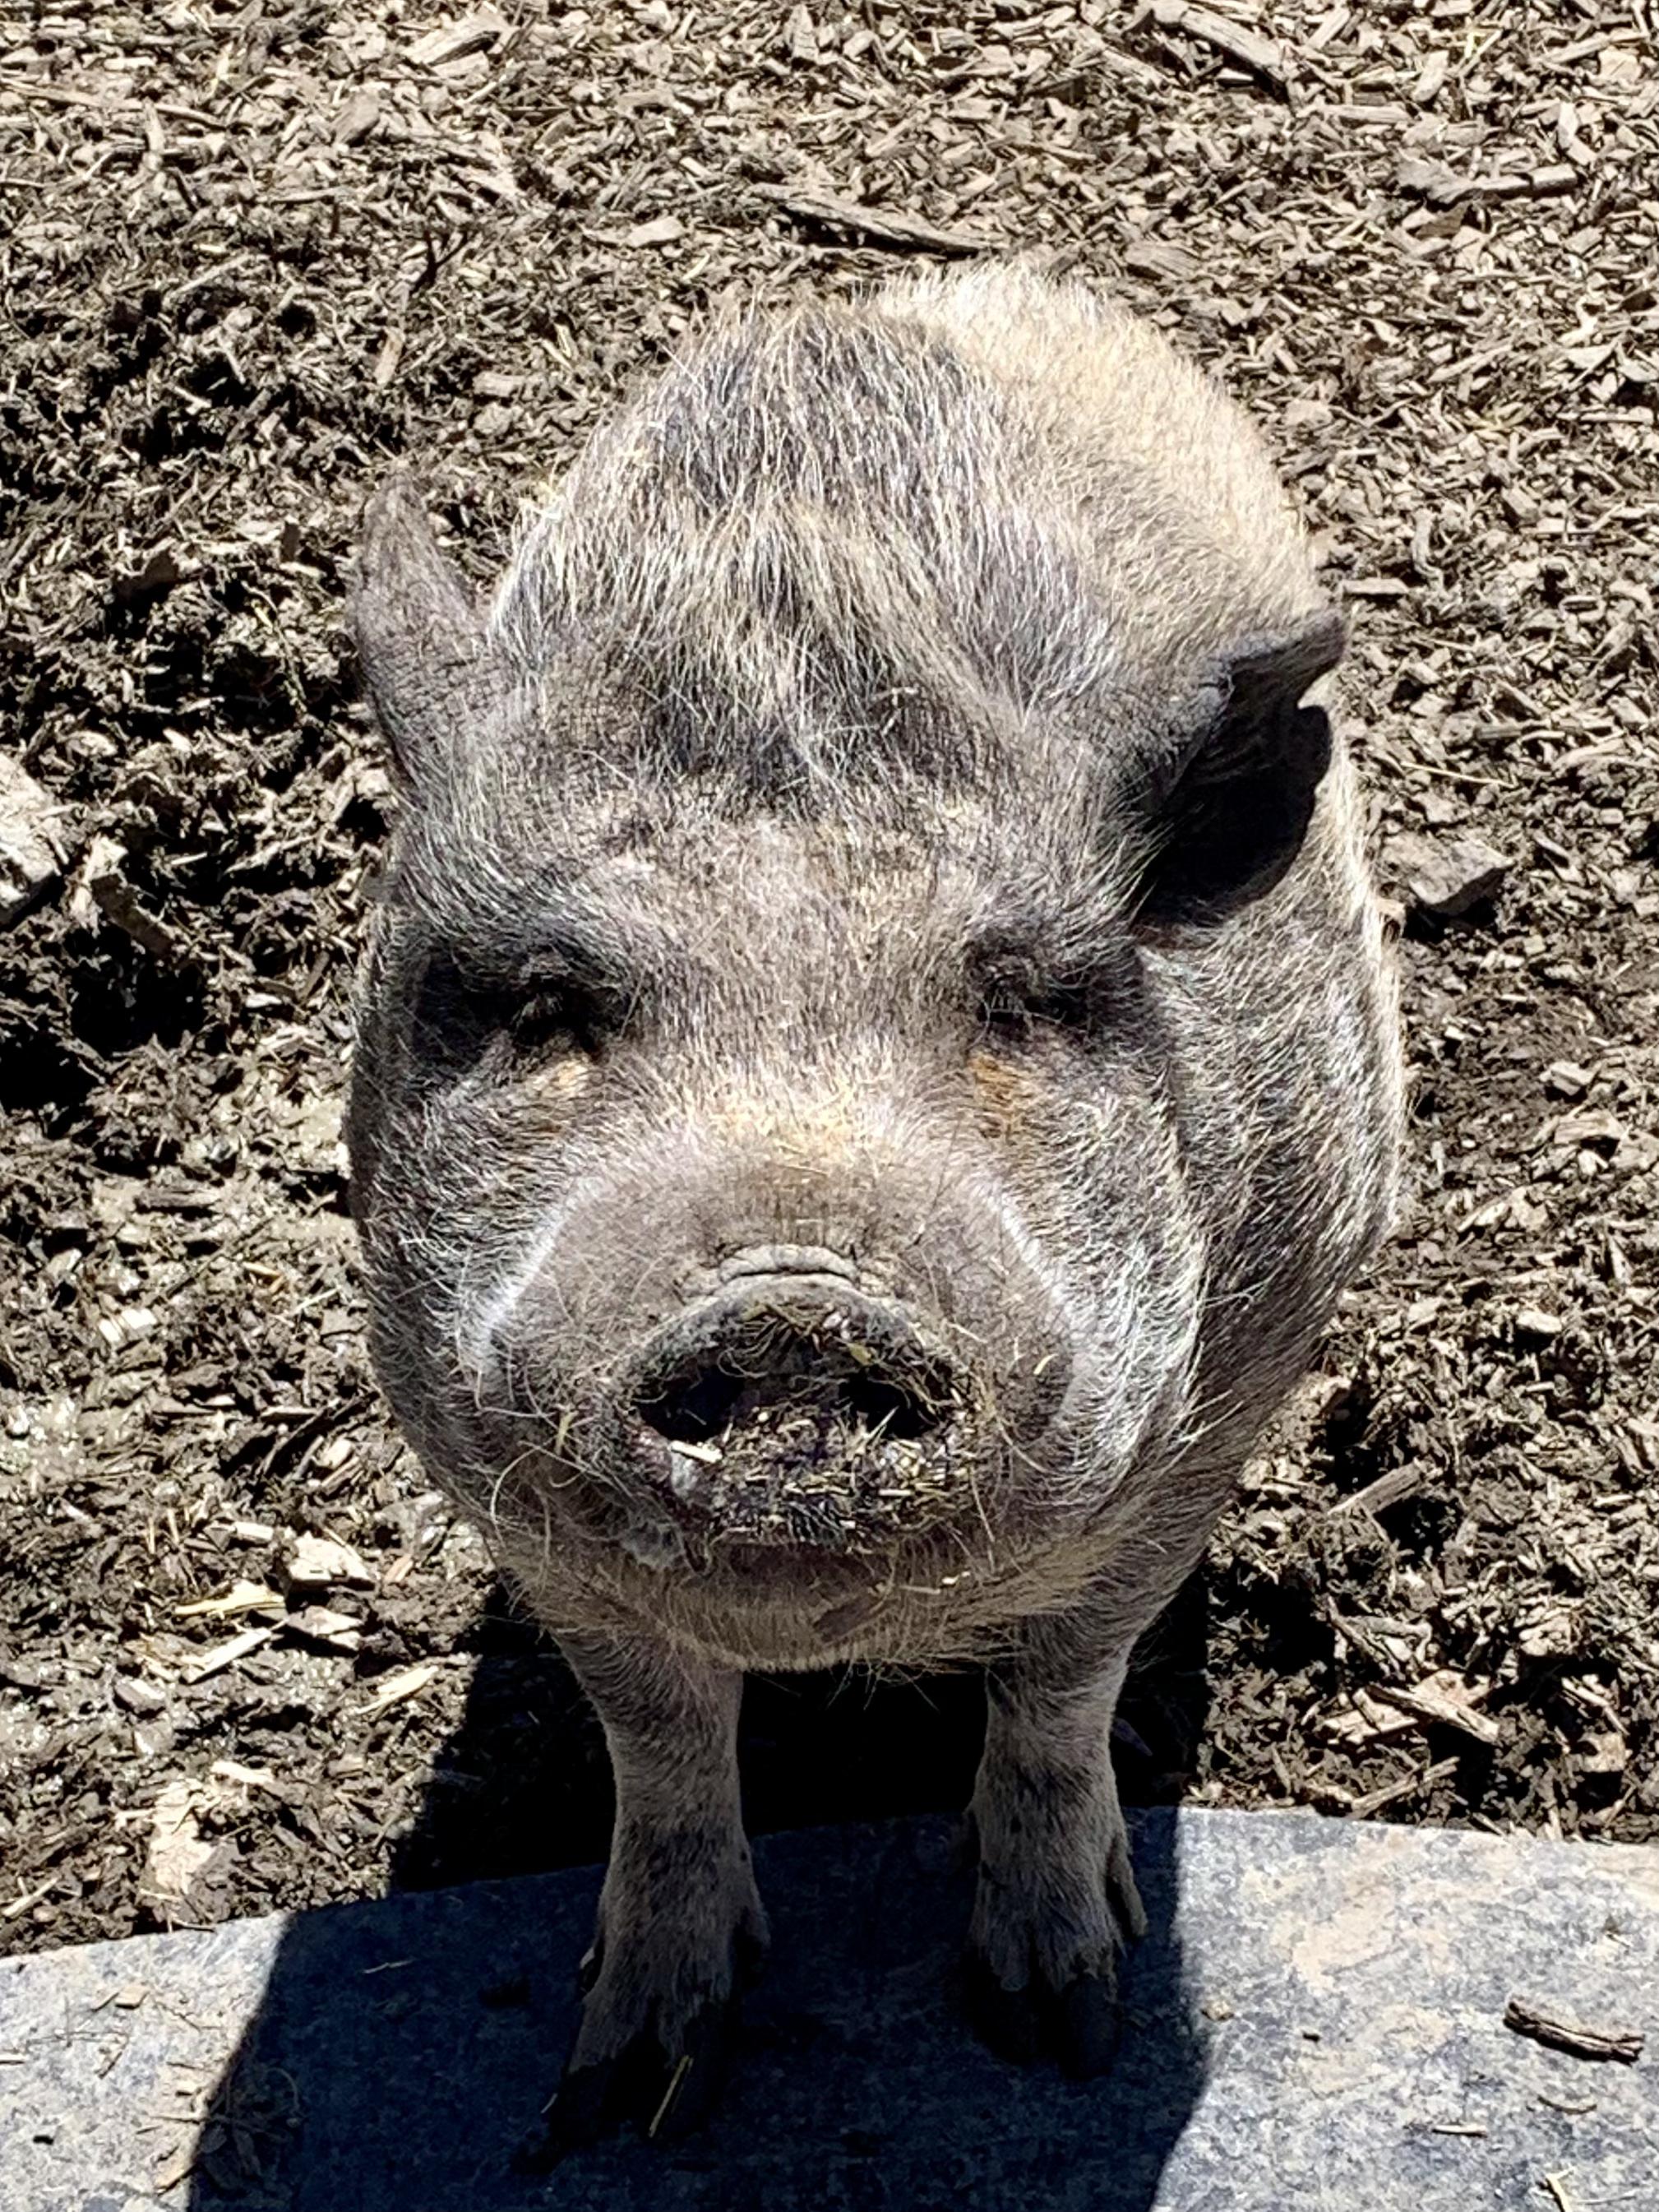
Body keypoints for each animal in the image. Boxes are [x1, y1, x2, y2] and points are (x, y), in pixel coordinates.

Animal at [347, 263, 1403, 2148]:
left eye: (1020, 997)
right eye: (545, 1004)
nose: (788, 1303)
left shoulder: (1216, 1415)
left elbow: (1061, 1687)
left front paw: (1064, 2026)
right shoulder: (489, 1482)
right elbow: (657, 1737)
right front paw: (621, 2088)